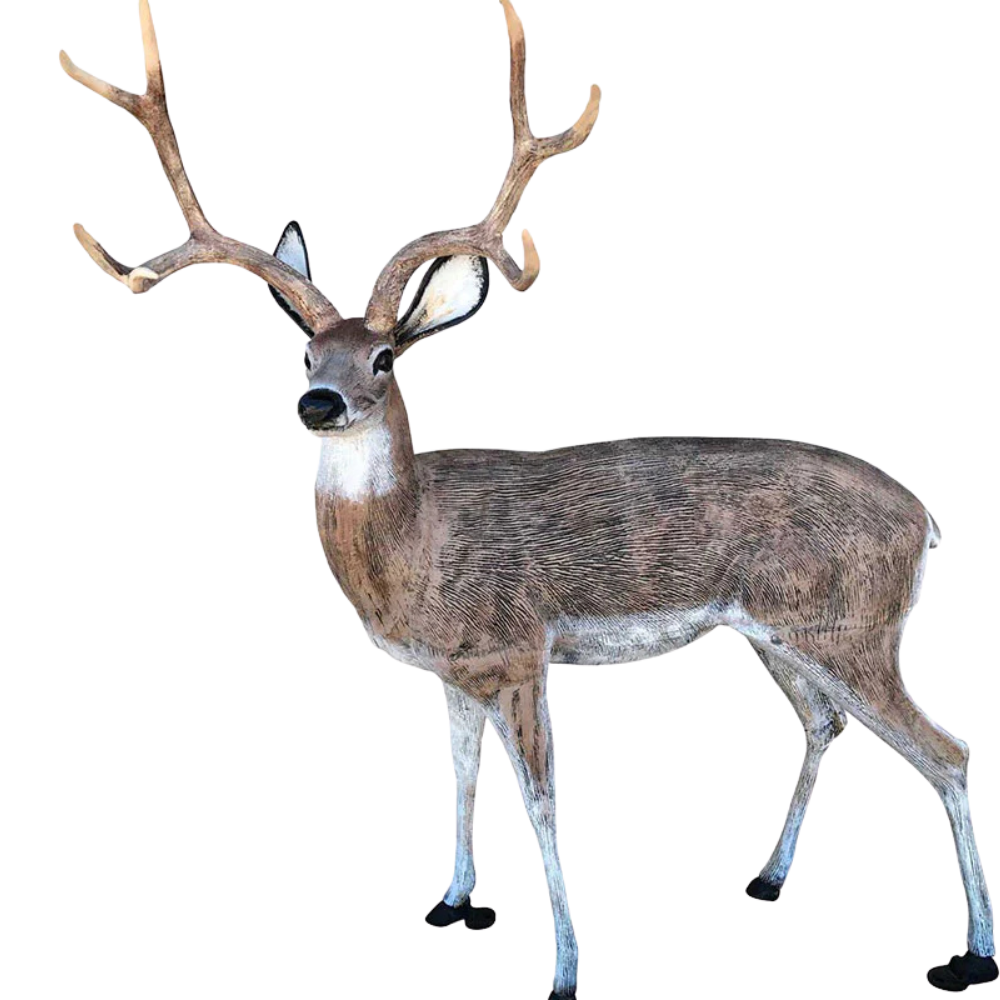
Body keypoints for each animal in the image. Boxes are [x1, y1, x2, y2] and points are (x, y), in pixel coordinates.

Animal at [58, 1, 996, 995]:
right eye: (308, 354)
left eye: (384, 358)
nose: (320, 404)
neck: (417, 550)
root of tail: (920, 515)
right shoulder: (456, 672)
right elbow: (460, 780)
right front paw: (456, 903)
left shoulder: (517, 647)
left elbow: (543, 802)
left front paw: (569, 964)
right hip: (783, 631)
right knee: (824, 724)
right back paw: (774, 880)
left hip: (849, 624)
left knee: (944, 752)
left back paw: (970, 955)